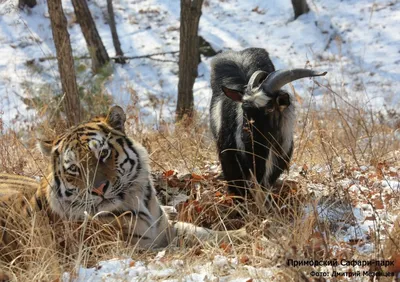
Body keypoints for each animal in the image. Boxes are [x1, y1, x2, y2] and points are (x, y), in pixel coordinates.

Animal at [0, 107, 247, 278]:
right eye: (74, 168)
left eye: (103, 154)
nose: (98, 188)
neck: (139, 202)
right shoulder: (132, 249)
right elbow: (177, 249)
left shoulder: (165, 229)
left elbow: (203, 232)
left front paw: (243, 232)